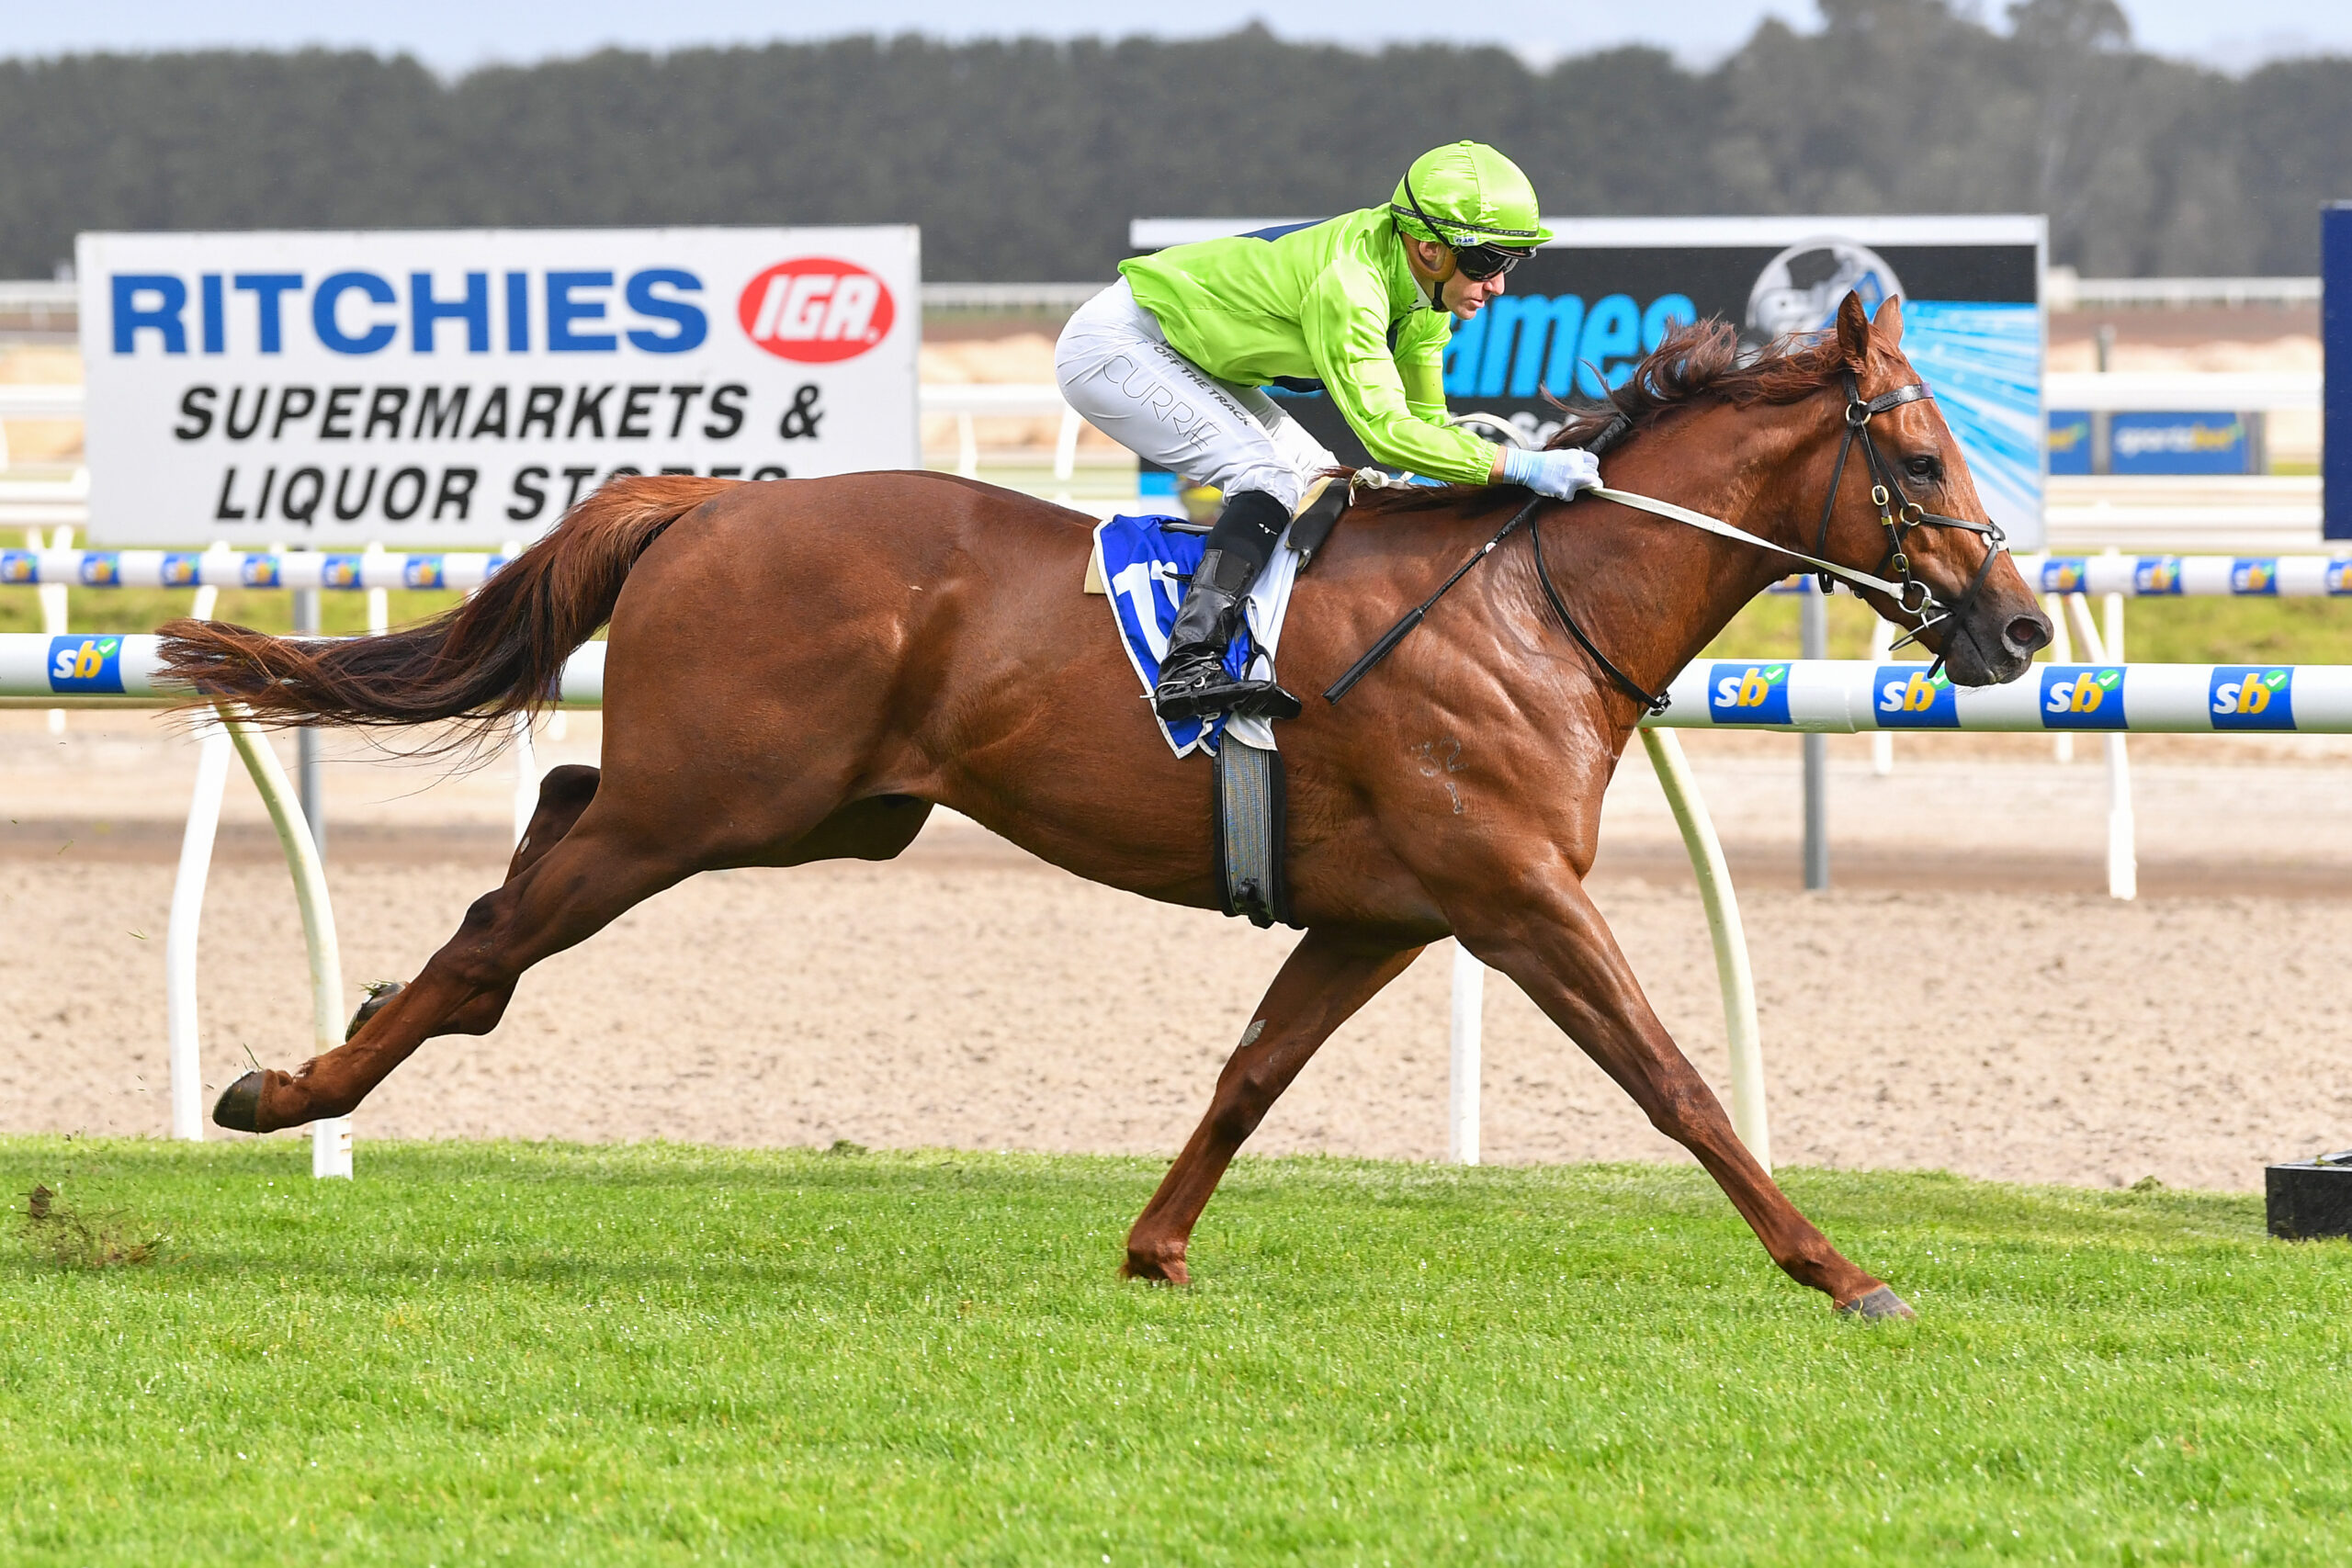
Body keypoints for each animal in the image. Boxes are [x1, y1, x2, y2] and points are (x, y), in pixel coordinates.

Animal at [159, 292, 2050, 1319]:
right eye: (1925, 457)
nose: (2024, 629)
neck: (1537, 601)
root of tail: (707, 498)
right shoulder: (1515, 896)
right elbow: (1676, 1081)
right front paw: (1842, 1268)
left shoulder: (1385, 911)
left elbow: (1253, 1071)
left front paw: (1154, 1250)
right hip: (711, 802)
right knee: (501, 931)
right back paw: (291, 1088)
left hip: (824, 804)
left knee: (553, 802)